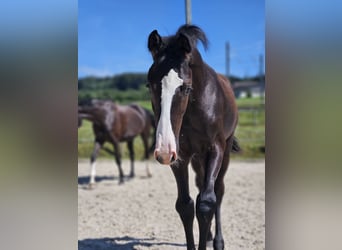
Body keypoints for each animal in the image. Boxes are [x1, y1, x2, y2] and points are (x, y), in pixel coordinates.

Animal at [147, 24, 240, 249]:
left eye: (186, 87)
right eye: (149, 85)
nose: (163, 151)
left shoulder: (215, 149)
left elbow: (206, 203)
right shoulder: (179, 156)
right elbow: (186, 205)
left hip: (224, 151)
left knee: (218, 190)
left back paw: (217, 241)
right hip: (198, 158)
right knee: (200, 186)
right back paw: (208, 236)